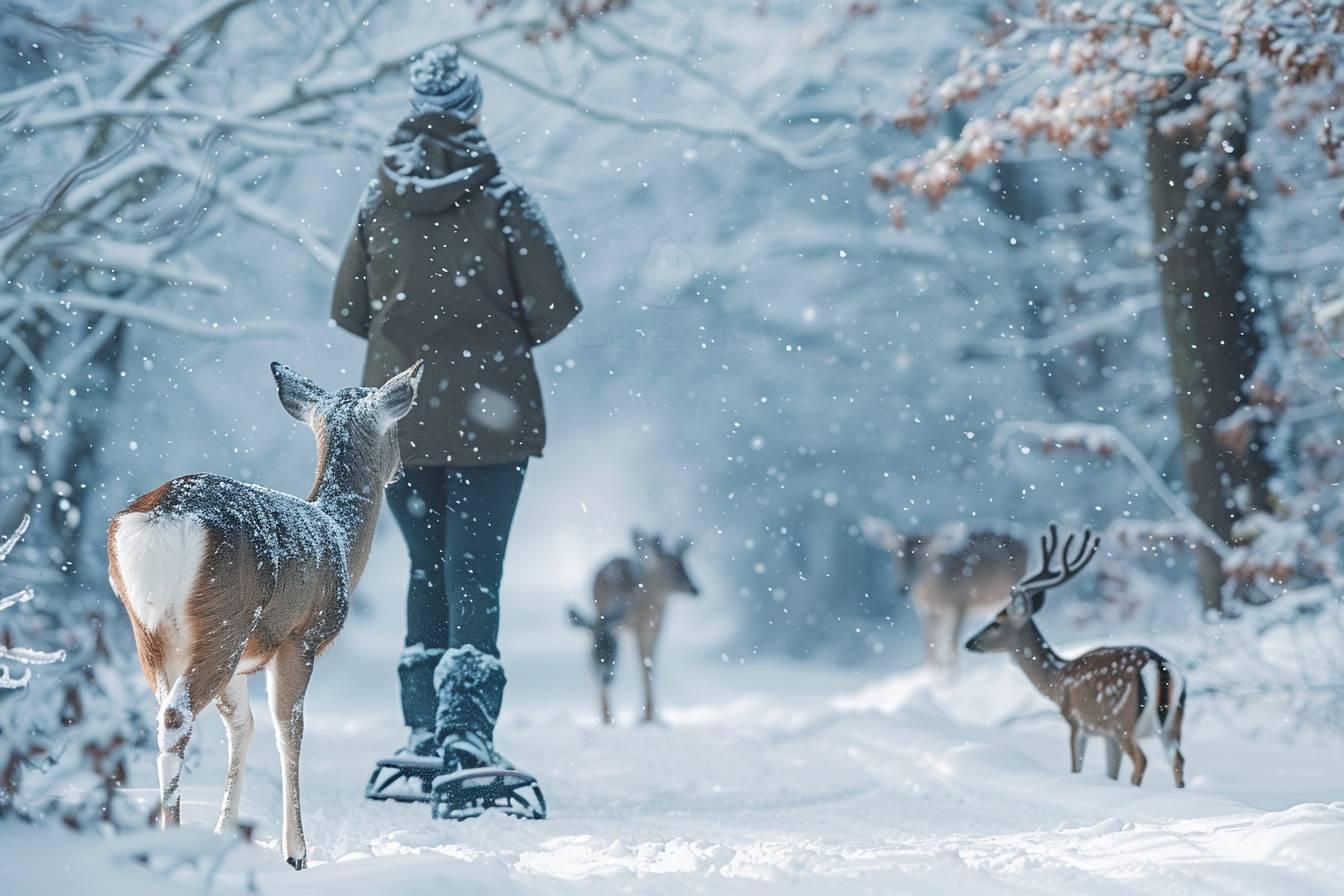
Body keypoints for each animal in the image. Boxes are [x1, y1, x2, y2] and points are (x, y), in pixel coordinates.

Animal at [106, 360, 422, 870]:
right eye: (396, 430)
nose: (401, 470)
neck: (337, 536)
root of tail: (159, 519)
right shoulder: (302, 637)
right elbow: (288, 729)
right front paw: (296, 852)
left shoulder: (243, 663)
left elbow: (243, 728)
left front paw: (226, 830)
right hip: (223, 619)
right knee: (176, 717)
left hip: (153, 632)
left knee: (164, 715)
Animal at [567, 529, 698, 725]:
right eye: (674, 567)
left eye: (683, 565)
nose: (696, 589)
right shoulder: (634, 626)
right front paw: (608, 718)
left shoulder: (654, 627)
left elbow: (648, 664)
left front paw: (650, 717)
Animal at [860, 518, 1026, 679]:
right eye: (897, 556)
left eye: (924, 556)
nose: (903, 588)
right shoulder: (928, 612)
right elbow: (931, 647)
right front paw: (934, 679)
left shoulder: (960, 603)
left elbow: (950, 646)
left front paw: (953, 680)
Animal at [967, 521, 1188, 789]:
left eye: (996, 622)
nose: (970, 642)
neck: (1057, 681)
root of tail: (1160, 665)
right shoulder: (1104, 734)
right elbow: (1110, 773)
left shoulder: (1076, 720)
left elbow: (1076, 768)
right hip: (1171, 725)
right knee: (1178, 760)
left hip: (1122, 722)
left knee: (1142, 760)